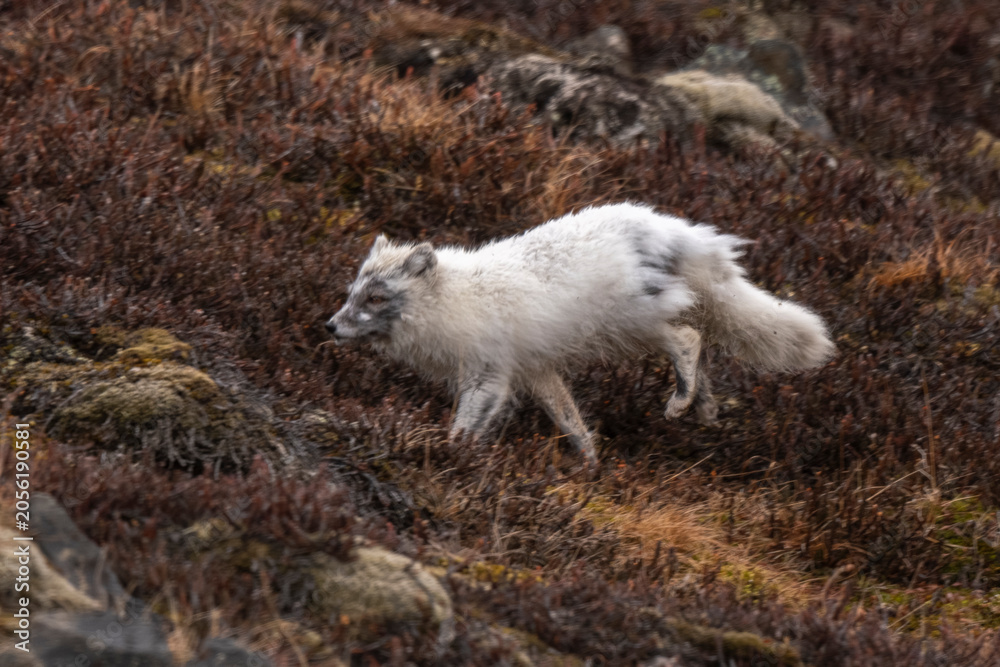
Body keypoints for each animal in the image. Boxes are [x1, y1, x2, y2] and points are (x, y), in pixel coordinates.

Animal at [325, 203, 834, 463]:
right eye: (352, 293)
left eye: (376, 298)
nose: (330, 326)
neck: (458, 300)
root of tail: (682, 235)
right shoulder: (533, 371)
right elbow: (570, 419)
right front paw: (591, 466)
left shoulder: (489, 374)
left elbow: (466, 427)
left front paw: (448, 457)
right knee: (698, 352)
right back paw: (703, 409)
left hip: (631, 323)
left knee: (689, 341)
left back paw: (680, 401)